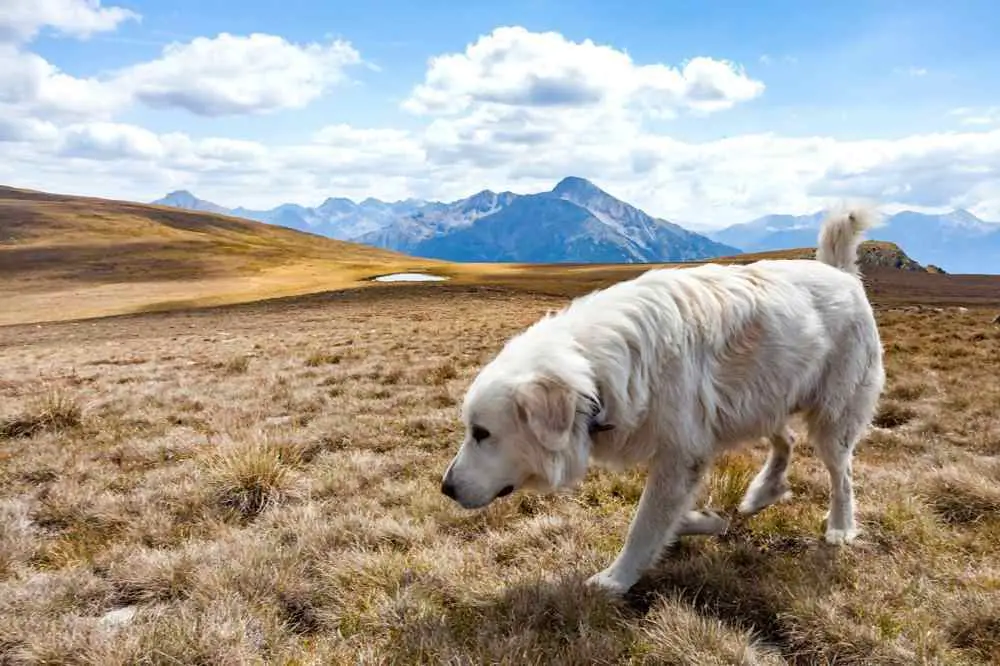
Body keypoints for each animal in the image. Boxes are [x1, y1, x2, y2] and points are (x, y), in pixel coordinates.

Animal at [438, 206, 884, 592]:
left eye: (481, 433)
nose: (445, 489)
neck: (597, 375)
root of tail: (839, 272)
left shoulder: (679, 455)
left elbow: (645, 523)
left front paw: (616, 580)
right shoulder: (684, 456)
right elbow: (667, 517)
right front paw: (704, 520)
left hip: (831, 418)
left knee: (841, 474)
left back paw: (840, 528)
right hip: (760, 399)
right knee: (785, 441)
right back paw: (762, 493)